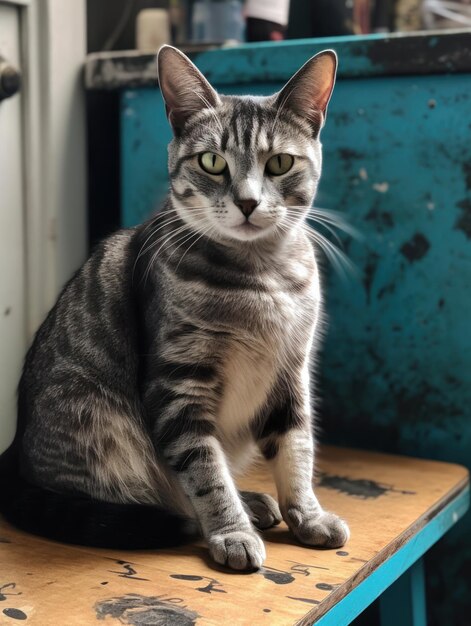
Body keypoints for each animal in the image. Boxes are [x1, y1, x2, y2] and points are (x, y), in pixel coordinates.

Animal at [0, 45, 350, 572]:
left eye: (279, 163)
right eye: (212, 161)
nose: (248, 202)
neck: (261, 278)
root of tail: (14, 453)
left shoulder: (292, 373)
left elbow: (296, 449)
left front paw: (306, 515)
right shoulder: (179, 384)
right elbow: (205, 471)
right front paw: (232, 532)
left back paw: (255, 502)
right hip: (99, 429)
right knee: (160, 496)